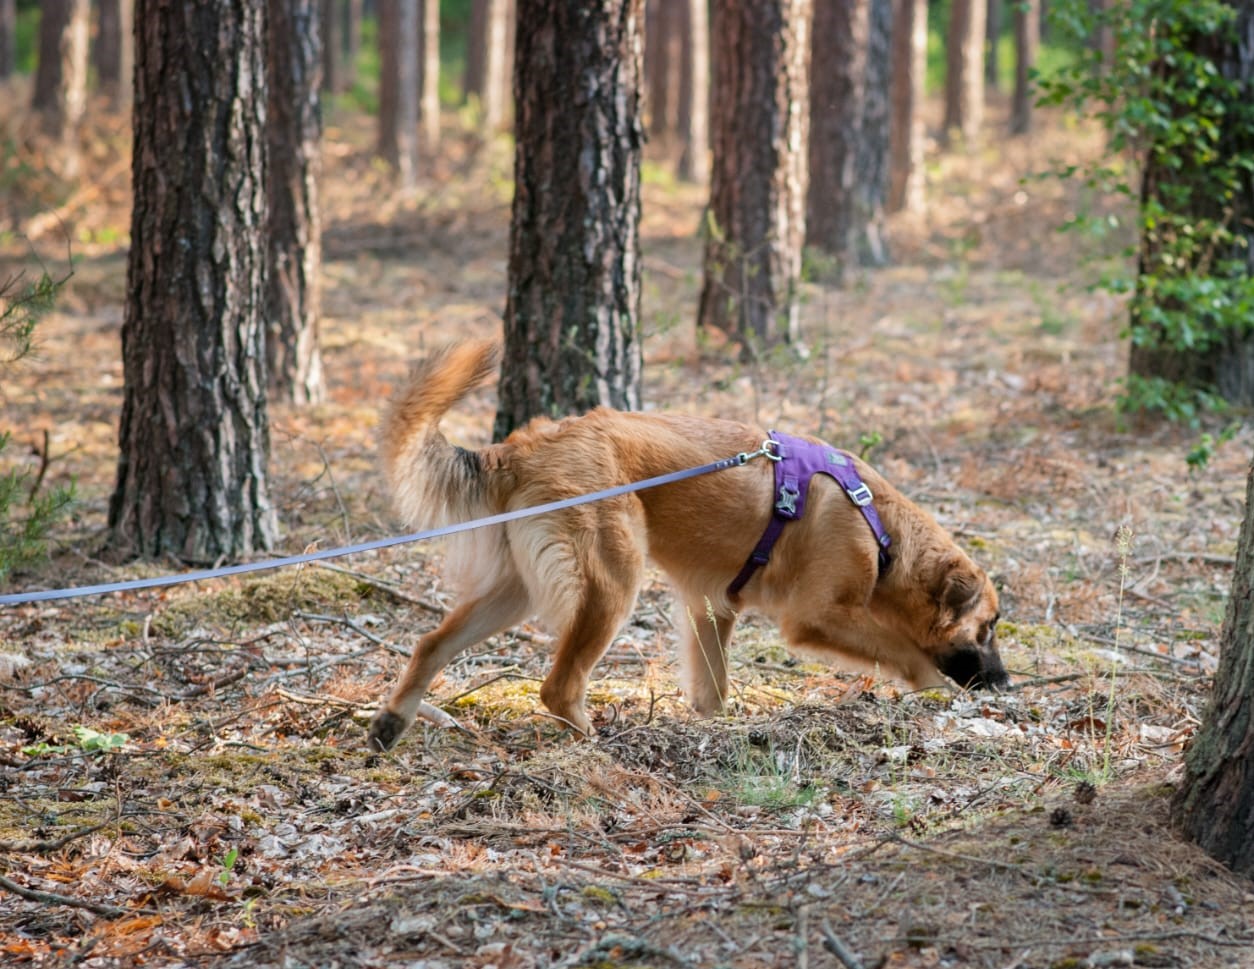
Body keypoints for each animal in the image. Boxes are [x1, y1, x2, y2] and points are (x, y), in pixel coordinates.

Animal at [368, 335, 1008, 752]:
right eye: (988, 628)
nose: (1005, 684)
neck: (879, 527)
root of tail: (521, 449)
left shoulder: (711, 608)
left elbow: (712, 689)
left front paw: (713, 727)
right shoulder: (817, 617)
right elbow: (903, 650)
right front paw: (933, 692)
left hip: (517, 591)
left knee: (430, 643)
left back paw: (392, 722)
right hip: (611, 585)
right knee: (558, 686)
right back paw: (596, 742)